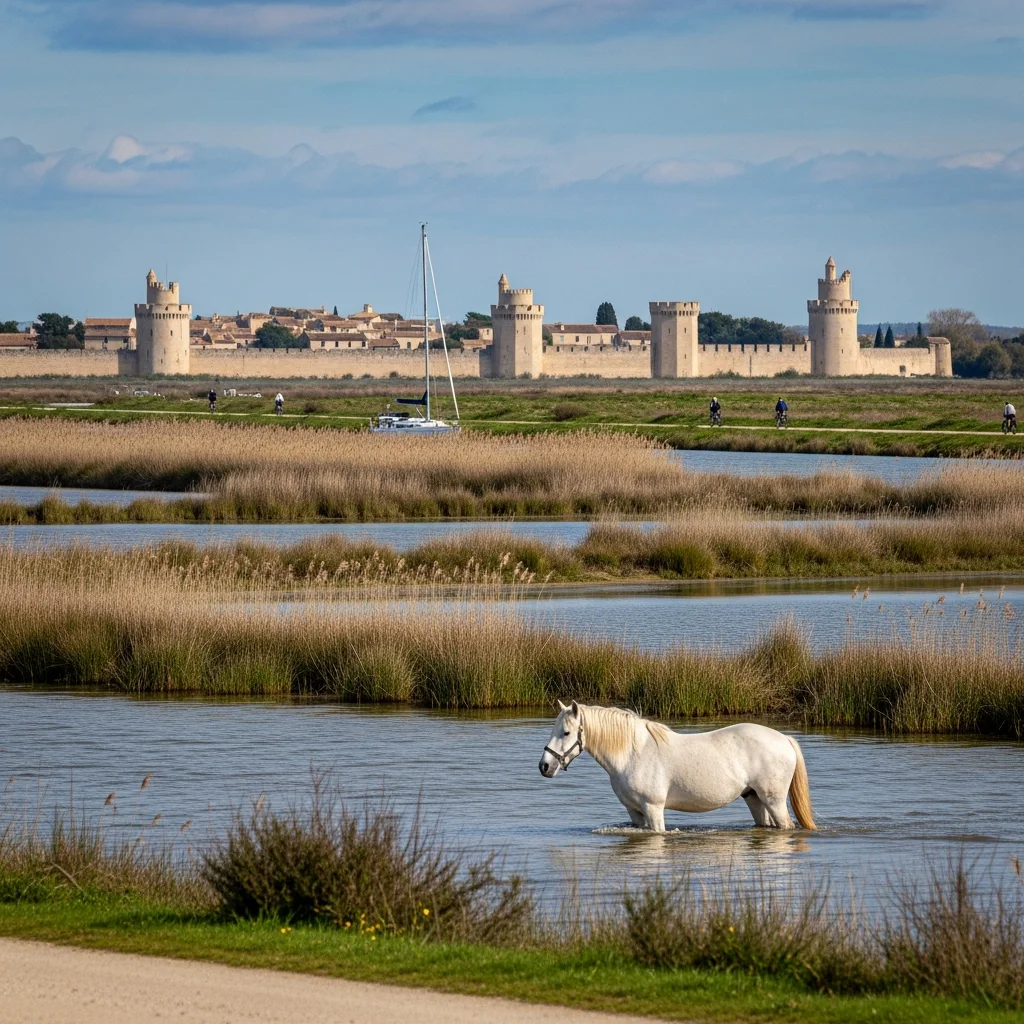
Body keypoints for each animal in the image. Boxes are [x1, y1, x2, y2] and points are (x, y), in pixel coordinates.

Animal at [539, 701, 816, 832]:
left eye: (566, 732)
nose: (544, 766)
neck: (632, 754)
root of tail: (784, 739)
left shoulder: (653, 808)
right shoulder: (634, 812)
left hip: (774, 800)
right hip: (754, 798)